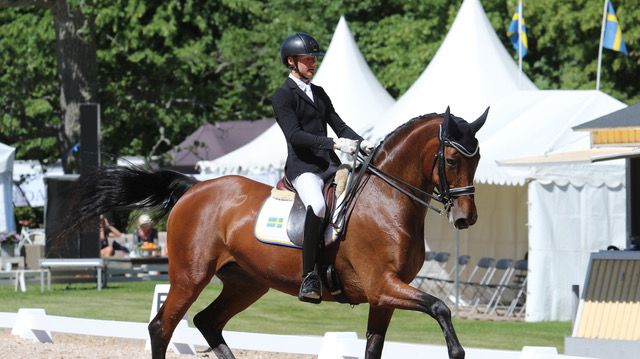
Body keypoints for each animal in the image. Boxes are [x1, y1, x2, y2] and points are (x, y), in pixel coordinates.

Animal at [71, 107, 484, 359]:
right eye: (451, 160)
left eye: (477, 158)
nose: (466, 219)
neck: (387, 200)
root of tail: (194, 188)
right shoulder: (382, 285)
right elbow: (441, 306)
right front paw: (457, 351)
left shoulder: (383, 297)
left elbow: (374, 348)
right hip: (190, 275)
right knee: (162, 326)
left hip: (246, 282)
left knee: (207, 321)